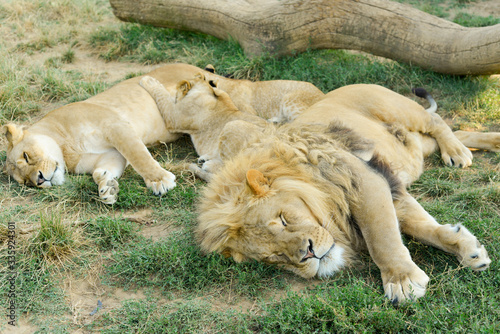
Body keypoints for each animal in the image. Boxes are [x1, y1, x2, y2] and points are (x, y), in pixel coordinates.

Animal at [190, 82, 496, 304]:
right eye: (273, 257)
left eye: (283, 219)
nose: (308, 255)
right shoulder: (388, 185)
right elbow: (421, 226)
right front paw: (467, 248)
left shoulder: (364, 181)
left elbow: (381, 238)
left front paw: (401, 280)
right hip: (419, 142)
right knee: (458, 131)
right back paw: (488, 142)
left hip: (400, 109)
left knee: (437, 121)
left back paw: (457, 153)